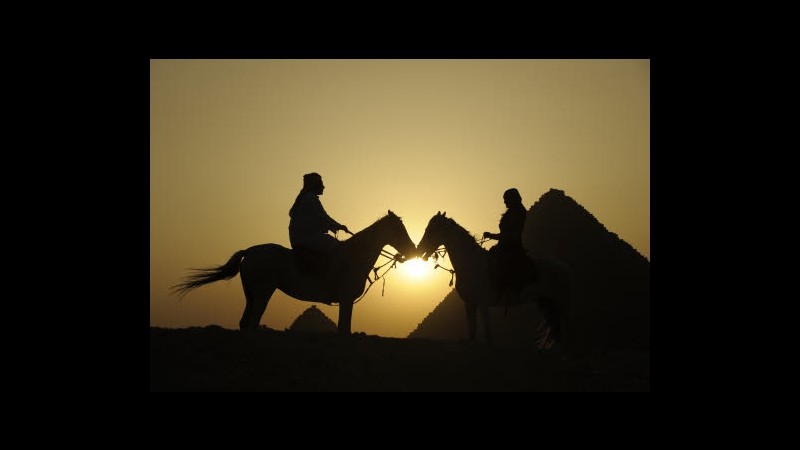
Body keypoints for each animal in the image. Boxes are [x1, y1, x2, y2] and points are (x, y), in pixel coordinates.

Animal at [171, 211, 416, 334]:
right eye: (399, 229)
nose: (413, 251)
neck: (355, 256)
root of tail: (249, 251)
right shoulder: (346, 301)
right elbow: (343, 331)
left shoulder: (346, 302)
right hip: (263, 293)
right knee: (251, 323)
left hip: (252, 294)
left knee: (245, 322)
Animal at [416, 211, 572, 348]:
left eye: (432, 230)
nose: (419, 249)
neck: (470, 263)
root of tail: (564, 267)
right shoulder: (469, 303)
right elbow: (472, 332)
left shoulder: (483, 303)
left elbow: (488, 333)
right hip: (546, 302)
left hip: (562, 303)